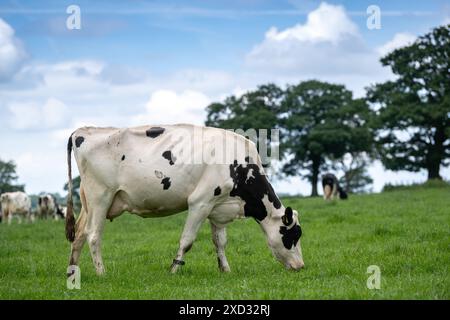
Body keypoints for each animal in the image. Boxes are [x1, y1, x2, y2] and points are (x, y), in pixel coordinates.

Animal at [66, 124, 306, 276]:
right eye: (293, 235)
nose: (301, 266)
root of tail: (83, 130)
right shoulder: (200, 202)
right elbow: (187, 241)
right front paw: (174, 269)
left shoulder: (219, 207)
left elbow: (220, 242)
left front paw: (225, 270)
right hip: (101, 197)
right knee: (93, 236)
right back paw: (101, 273)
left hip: (88, 202)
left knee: (79, 234)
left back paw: (72, 271)